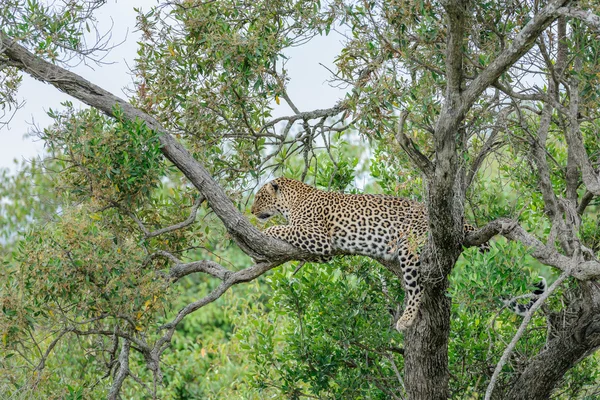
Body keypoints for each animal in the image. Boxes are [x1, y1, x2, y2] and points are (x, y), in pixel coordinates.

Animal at [251, 178, 490, 332]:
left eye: (259, 197)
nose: (251, 212)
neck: (292, 201)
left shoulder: (319, 237)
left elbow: (283, 228)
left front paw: (265, 233)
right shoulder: (324, 253)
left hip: (410, 247)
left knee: (417, 287)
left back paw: (406, 320)